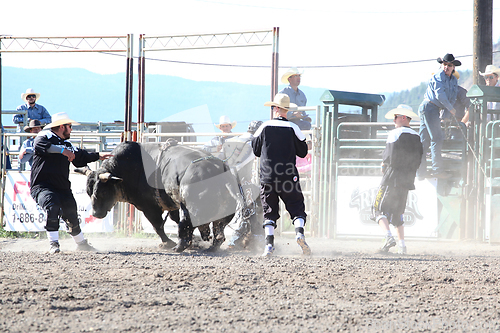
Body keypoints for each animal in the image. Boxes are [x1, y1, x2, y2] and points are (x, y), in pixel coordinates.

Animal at [75, 140, 243, 252]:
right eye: (88, 192)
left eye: (102, 191)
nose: (95, 214)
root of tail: (219, 169)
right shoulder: (172, 205)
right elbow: (173, 219)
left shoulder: (149, 207)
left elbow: (157, 226)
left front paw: (167, 243)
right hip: (225, 211)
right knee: (218, 232)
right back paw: (209, 247)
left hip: (191, 207)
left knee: (186, 224)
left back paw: (178, 247)